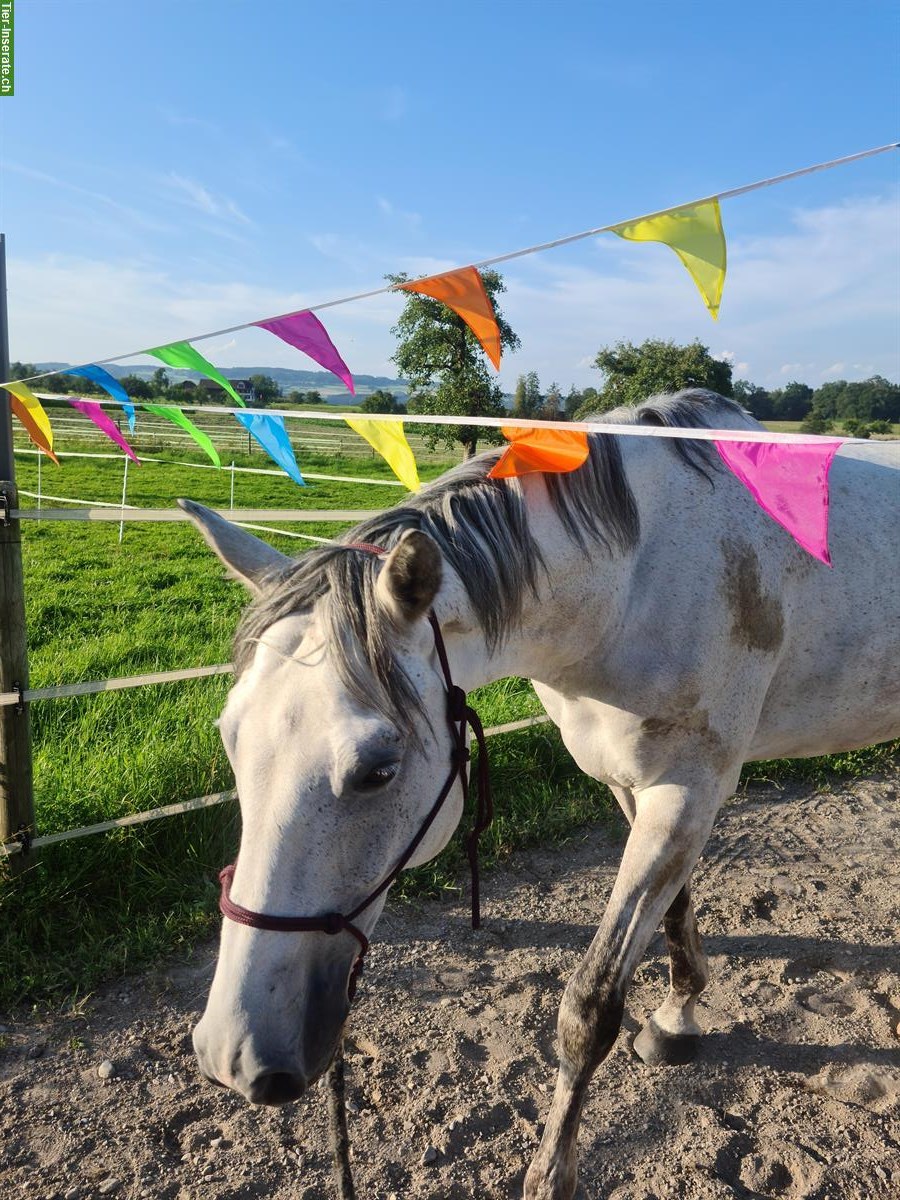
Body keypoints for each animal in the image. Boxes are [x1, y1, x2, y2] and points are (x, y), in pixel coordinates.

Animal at [184, 388, 900, 1195]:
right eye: (230, 738)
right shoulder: (639, 787)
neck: (633, 580)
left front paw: (551, 1172)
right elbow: (674, 913)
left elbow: (589, 1006)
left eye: (378, 769)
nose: (235, 1055)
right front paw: (679, 1016)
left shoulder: (688, 791)